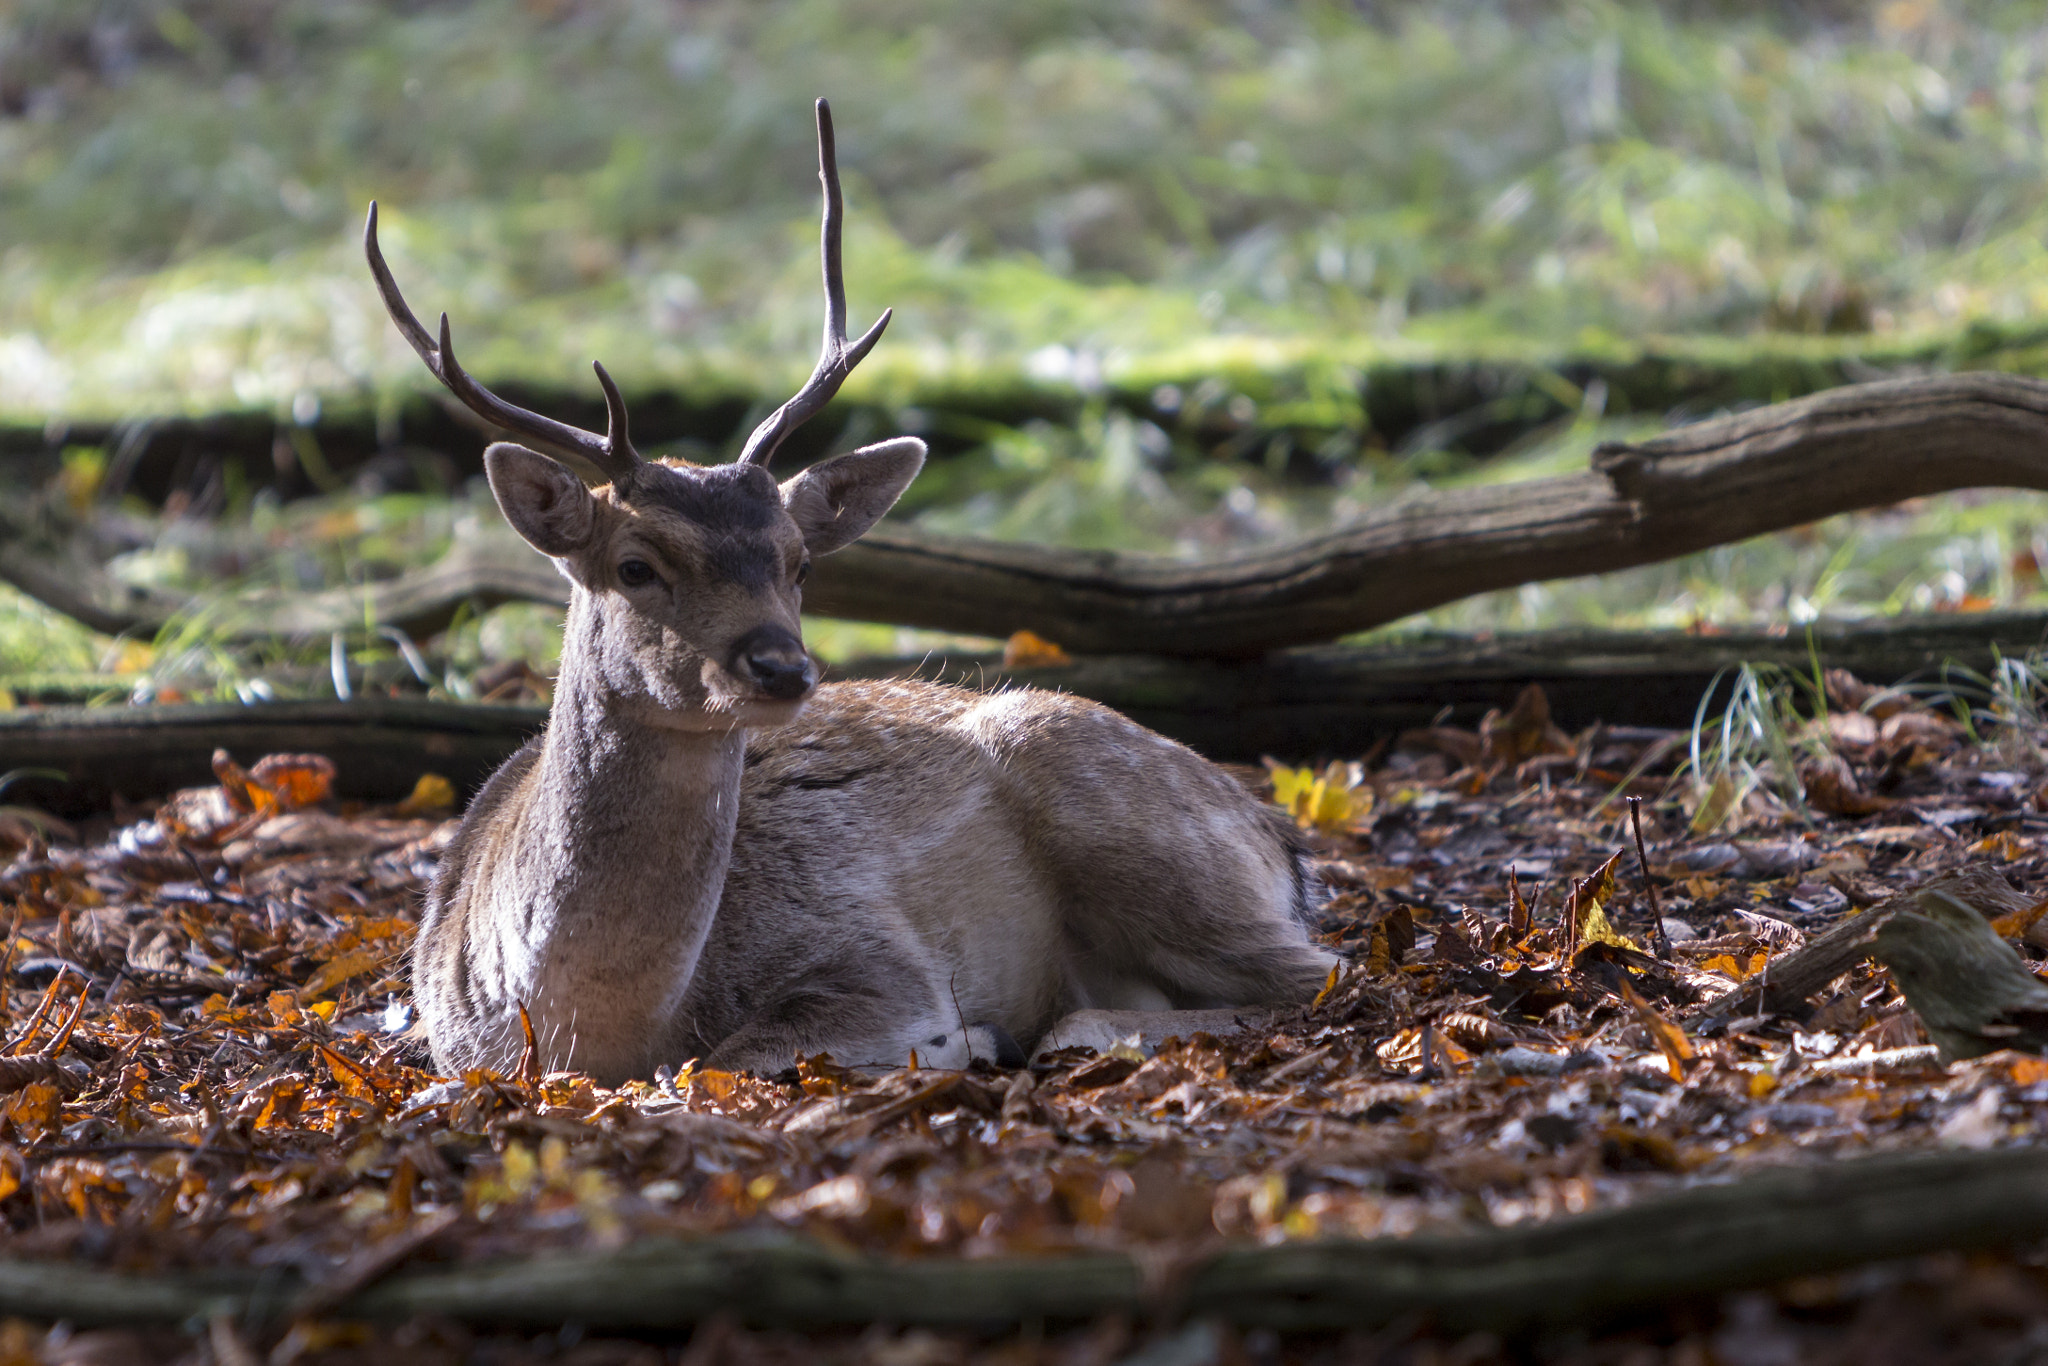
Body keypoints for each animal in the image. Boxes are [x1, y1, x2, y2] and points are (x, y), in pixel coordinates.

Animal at [369, 100, 1336, 1085]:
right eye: (635, 565)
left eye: (800, 562)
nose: (782, 667)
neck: (590, 1027)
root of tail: (1281, 840)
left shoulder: (873, 955)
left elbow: (726, 1061)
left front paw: (962, 1038)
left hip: (1122, 815)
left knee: (1327, 976)